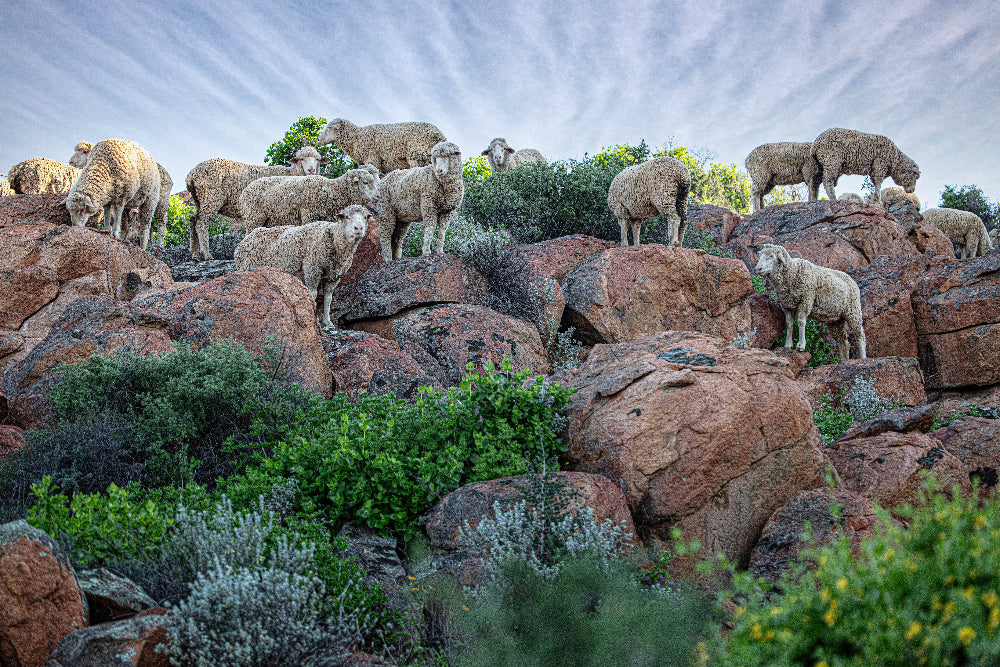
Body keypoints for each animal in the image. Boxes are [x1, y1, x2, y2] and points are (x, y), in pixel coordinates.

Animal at [185, 146, 329, 261]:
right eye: (301, 159)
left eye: (318, 159)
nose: (311, 170)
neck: (292, 174)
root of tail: (191, 174)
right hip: (211, 197)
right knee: (201, 223)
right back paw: (206, 254)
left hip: (199, 200)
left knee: (193, 220)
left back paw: (195, 255)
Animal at [234, 204, 373, 328]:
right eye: (347, 217)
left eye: (365, 217)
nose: (358, 228)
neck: (334, 238)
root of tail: (246, 239)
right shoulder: (312, 269)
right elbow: (312, 295)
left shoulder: (334, 277)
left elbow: (328, 298)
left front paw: (327, 321)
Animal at [237, 169, 378, 233]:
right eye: (365, 182)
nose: (377, 196)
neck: (331, 191)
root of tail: (242, 194)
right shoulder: (309, 215)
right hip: (254, 218)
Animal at [317, 118, 447, 174]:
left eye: (329, 128)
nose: (318, 140)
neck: (356, 138)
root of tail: (440, 136)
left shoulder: (372, 159)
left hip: (418, 155)